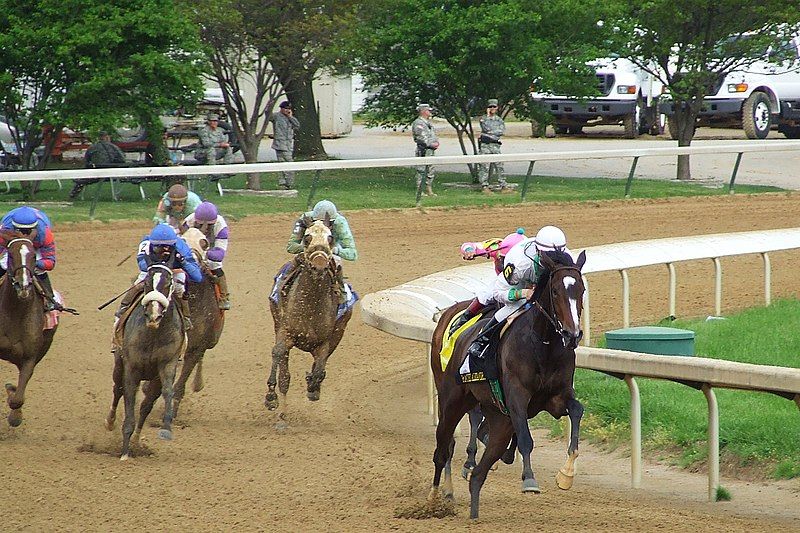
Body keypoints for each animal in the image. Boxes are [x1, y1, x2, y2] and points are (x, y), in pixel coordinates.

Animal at [0, 235, 57, 426]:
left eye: (33, 256)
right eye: (10, 255)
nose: (23, 286)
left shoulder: (30, 358)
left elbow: (17, 399)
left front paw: (15, 416)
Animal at [105, 262, 187, 458]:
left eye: (168, 283)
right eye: (148, 283)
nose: (153, 316)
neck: (153, 333)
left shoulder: (167, 365)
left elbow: (167, 392)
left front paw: (166, 429)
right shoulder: (131, 368)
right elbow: (128, 397)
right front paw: (125, 453)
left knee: (145, 405)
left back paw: (136, 440)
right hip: (119, 366)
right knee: (117, 390)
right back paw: (110, 421)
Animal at [268, 217, 352, 424]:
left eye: (330, 238)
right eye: (307, 238)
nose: (319, 265)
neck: (311, 304)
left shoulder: (325, 341)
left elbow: (320, 366)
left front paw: (313, 385)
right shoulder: (285, 331)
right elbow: (278, 352)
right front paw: (271, 397)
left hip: (339, 332)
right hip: (276, 321)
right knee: (285, 371)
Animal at [432, 248, 588, 516]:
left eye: (581, 290)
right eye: (555, 291)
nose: (572, 334)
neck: (543, 345)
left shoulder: (556, 397)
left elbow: (577, 410)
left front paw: (566, 474)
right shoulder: (517, 396)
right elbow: (526, 438)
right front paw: (529, 479)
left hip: (495, 411)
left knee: (479, 442)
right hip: (451, 400)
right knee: (444, 446)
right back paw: (436, 497)